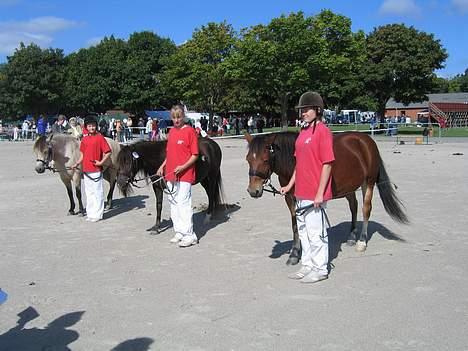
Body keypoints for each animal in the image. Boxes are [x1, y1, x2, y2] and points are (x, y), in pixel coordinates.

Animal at [247, 131, 408, 266]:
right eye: (248, 159)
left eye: (265, 159)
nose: (253, 190)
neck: (295, 164)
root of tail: (365, 139)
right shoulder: (289, 198)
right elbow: (295, 225)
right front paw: (294, 253)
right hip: (349, 186)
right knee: (354, 206)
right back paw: (351, 236)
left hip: (368, 182)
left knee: (366, 209)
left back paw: (361, 241)